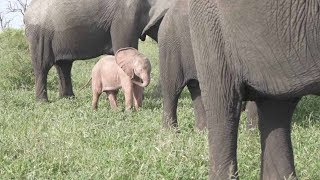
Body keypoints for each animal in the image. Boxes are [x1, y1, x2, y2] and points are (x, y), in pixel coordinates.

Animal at [24, 0, 174, 101]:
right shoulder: (125, 15)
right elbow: (123, 47)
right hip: (40, 35)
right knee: (42, 66)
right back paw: (43, 102)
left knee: (64, 65)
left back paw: (68, 98)